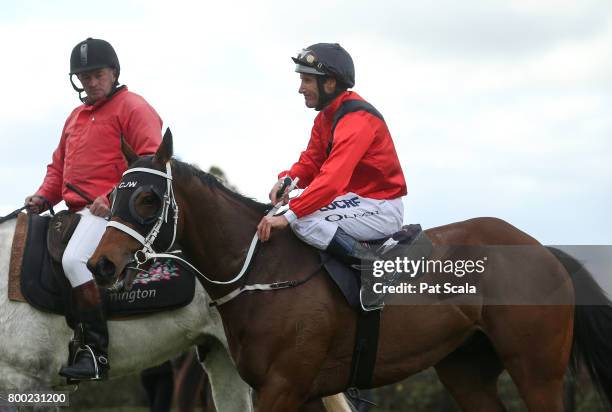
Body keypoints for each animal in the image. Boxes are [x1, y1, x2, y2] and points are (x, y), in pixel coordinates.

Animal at [88, 131, 612, 408]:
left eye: (148, 198)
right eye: (114, 193)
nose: (101, 264)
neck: (260, 271)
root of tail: (544, 249)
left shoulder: (283, 385)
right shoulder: (294, 390)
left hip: (537, 370)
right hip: (466, 369)